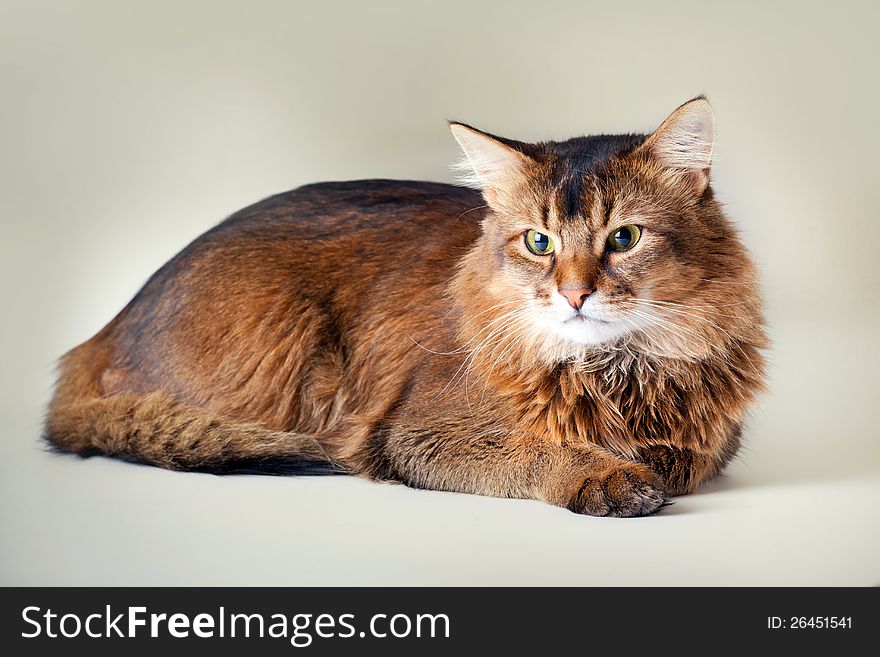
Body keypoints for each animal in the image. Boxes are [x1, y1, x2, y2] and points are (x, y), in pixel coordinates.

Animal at [46, 98, 764, 516]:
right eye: (539, 242)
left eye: (624, 238)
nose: (575, 293)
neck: (615, 372)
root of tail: (98, 336)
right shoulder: (413, 433)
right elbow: (535, 451)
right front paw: (607, 475)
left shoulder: (712, 438)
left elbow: (682, 457)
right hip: (296, 340)